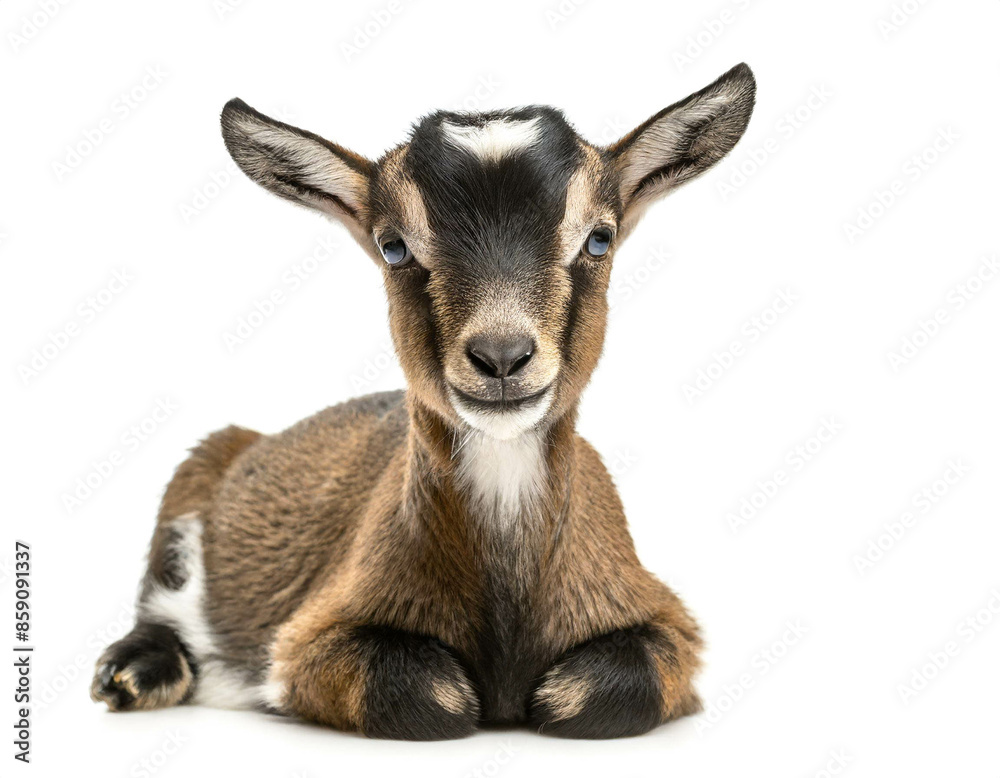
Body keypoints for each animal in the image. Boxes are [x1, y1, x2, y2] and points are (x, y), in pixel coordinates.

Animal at [91, 63, 756, 739]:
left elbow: (596, 688)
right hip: (198, 466)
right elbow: (435, 692)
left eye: (600, 239)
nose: (501, 356)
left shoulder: (665, 626)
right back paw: (131, 674)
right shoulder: (308, 640)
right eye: (394, 247)